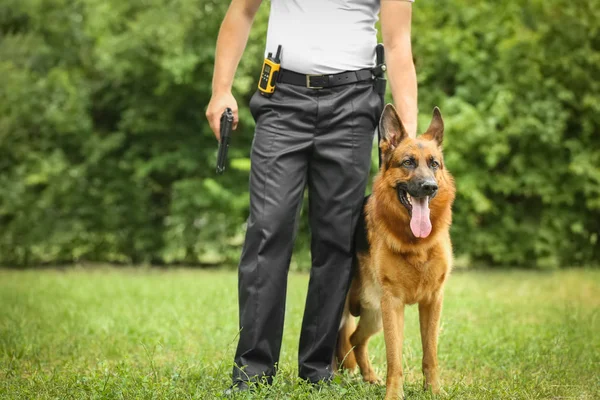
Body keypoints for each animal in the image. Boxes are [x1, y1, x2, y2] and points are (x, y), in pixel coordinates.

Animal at [338, 104, 454, 398]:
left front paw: (433, 390)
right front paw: (394, 394)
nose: (429, 187)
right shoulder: (393, 304)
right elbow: (395, 357)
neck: (416, 244)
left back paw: (369, 377)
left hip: (374, 315)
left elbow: (430, 354)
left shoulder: (432, 302)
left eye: (434, 164)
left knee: (354, 338)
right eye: (408, 162)